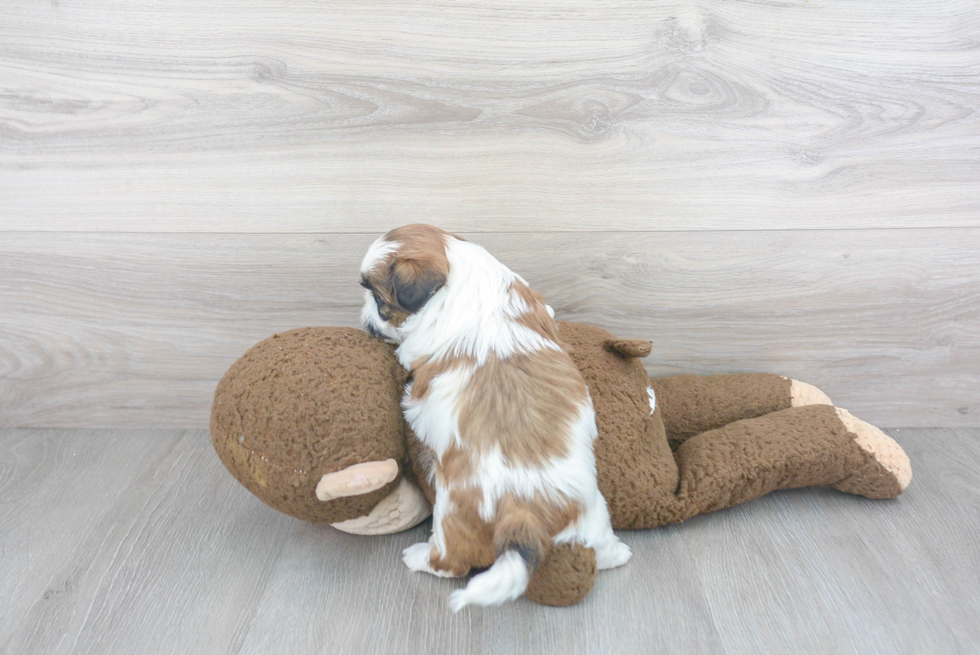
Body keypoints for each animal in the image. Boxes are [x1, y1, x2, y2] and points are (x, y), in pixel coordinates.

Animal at [358, 227, 628, 616]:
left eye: (379, 299)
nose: (364, 319)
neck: (462, 277)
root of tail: (523, 510)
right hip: (591, 507)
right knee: (598, 542)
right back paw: (616, 554)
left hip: (450, 513)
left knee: (452, 561)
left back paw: (420, 558)